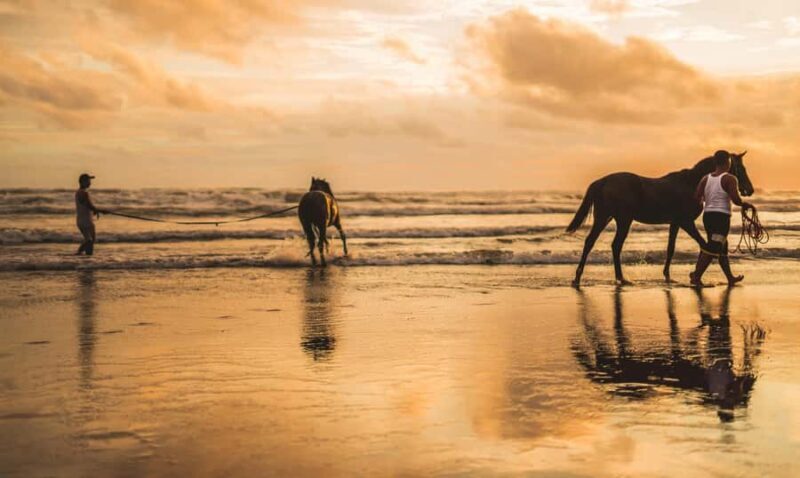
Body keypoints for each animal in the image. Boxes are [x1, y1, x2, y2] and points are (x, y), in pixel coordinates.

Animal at [566, 151, 753, 287]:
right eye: (741, 168)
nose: (750, 190)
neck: (690, 183)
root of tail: (603, 181)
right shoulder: (686, 222)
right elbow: (704, 245)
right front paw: (695, 276)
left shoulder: (675, 223)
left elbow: (671, 248)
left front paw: (668, 275)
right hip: (621, 219)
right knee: (613, 245)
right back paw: (618, 278)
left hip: (606, 218)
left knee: (593, 242)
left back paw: (583, 277)